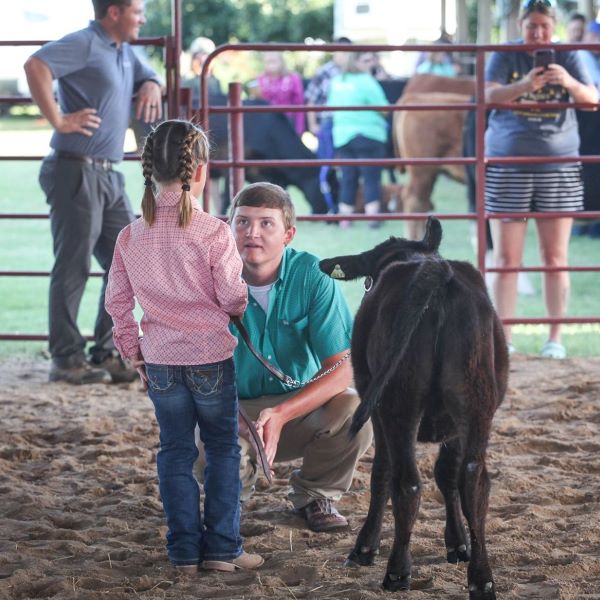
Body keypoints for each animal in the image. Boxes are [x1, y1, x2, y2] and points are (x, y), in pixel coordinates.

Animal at [318, 218, 506, 596]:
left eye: (369, 280)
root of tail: (435, 272)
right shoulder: (455, 427)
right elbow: (448, 474)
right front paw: (458, 543)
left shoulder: (375, 410)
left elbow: (381, 473)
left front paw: (364, 548)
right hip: (476, 403)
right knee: (474, 480)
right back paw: (481, 579)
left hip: (398, 403)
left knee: (406, 482)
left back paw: (397, 571)